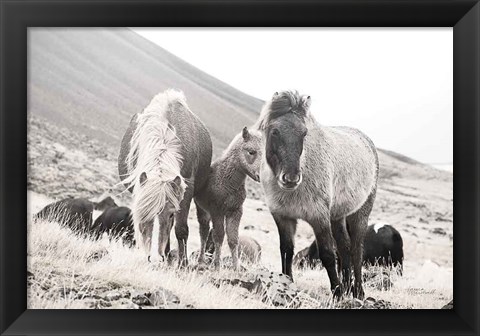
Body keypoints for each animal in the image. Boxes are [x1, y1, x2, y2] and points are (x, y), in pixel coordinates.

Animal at [117, 89, 212, 266]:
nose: (154, 259)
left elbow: (181, 229)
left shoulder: (186, 190)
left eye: (170, 214)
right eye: (143, 213)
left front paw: (183, 264)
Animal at [194, 126, 262, 270]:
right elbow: (219, 236)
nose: (260, 176)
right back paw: (201, 261)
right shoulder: (217, 211)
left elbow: (233, 240)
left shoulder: (235, 211)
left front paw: (236, 268)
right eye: (251, 151)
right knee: (203, 232)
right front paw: (217, 265)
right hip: (202, 209)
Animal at [255, 90, 378, 300]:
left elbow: (327, 254)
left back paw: (358, 291)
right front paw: (286, 285)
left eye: (304, 133)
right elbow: (286, 251)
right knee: (345, 246)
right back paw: (348, 286)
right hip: (337, 216)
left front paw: (337, 293)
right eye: (275, 131)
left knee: (356, 249)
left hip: (359, 214)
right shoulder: (283, 217)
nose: (291, 178)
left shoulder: (318, 217)